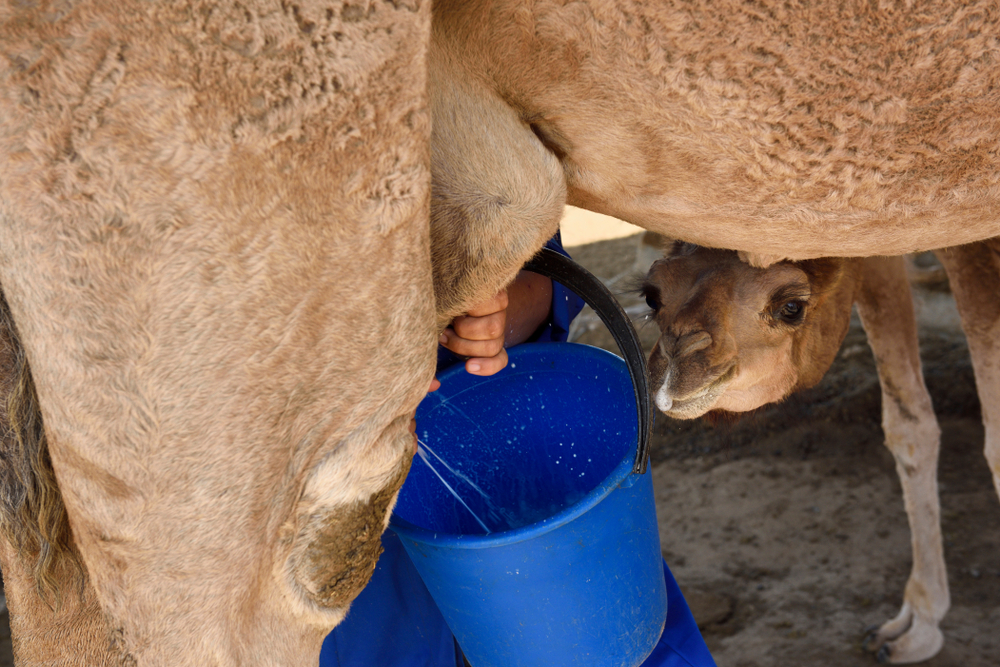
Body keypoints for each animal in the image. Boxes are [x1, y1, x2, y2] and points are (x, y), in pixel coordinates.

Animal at [641, 238, 1000, 663]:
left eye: (791, 306)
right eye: (652, 295)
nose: (676, 363)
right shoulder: (879, 257)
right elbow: (908, 425)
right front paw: (915, 628)